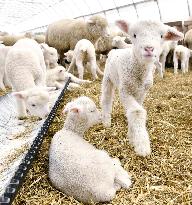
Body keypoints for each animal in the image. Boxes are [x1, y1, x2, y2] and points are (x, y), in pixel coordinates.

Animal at [100, 19, 183, 157]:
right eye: (134, 35)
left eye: (161, 36)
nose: (149, 48)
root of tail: (115, 51)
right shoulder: (125, 91)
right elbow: (137, 112)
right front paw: (142, 145)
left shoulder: (142, 92)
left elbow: (135, 110)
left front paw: (131, 135)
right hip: (107, 78)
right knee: (106, 98)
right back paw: (106, 121)